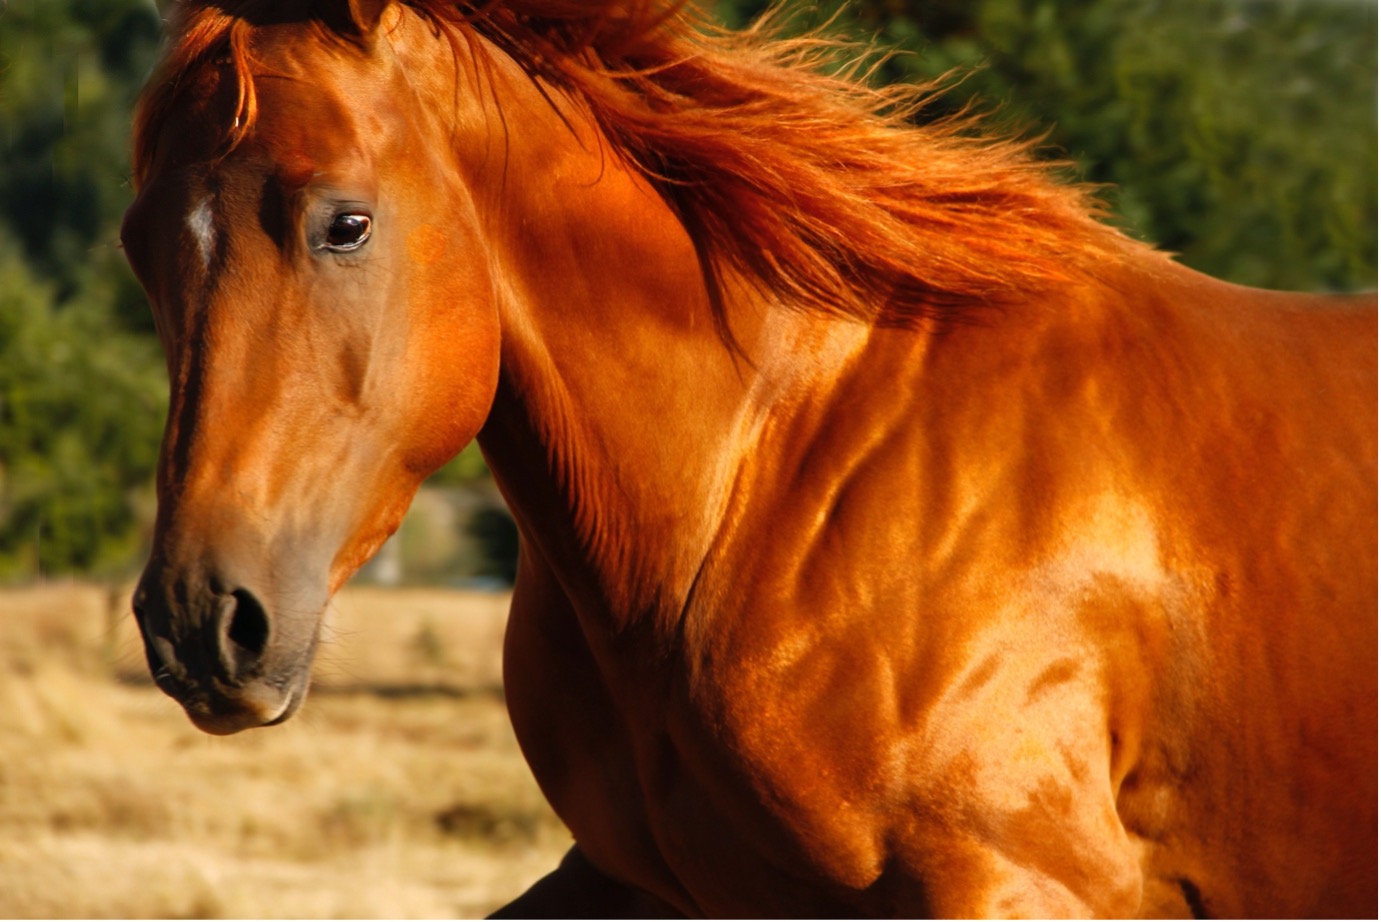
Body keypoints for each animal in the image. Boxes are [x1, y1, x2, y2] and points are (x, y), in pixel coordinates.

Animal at [124, 0, 1375, 916]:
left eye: (345, 223)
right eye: (141, 245)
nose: (201, 620)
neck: (765, 474)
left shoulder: (1019, 882)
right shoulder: (637, 880)